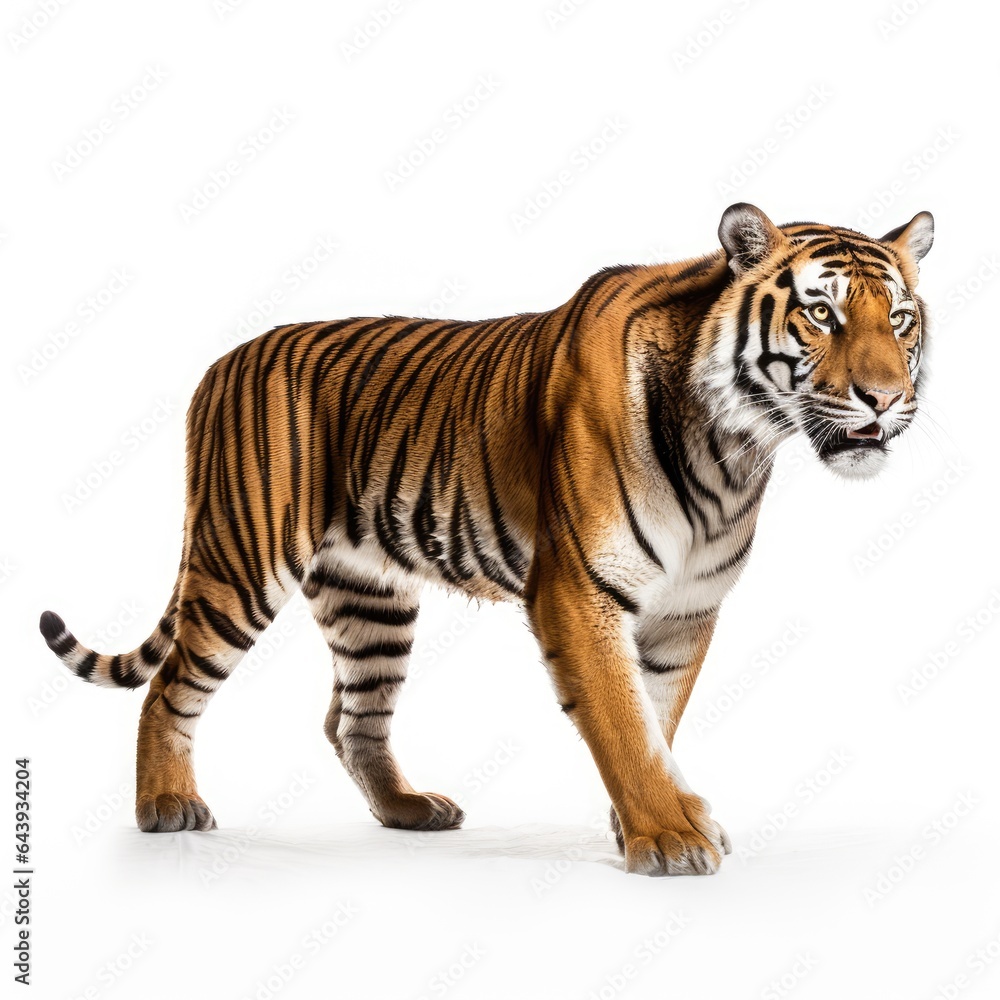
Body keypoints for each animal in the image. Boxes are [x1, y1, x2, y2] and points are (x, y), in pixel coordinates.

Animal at [40, 203, 934, 876]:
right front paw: (670, 837)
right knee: (170, 687)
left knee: (351, 717)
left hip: (370, 599)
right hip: (240, 563)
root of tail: (222, 361)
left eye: (898, 320)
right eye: (820, 313)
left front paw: (646, 821)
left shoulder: (686, 610)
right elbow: (622, 721)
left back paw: (408, 809)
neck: (736, 448)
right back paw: (166, 806)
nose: (886, 399)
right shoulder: (577, 591)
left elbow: (657, 719)